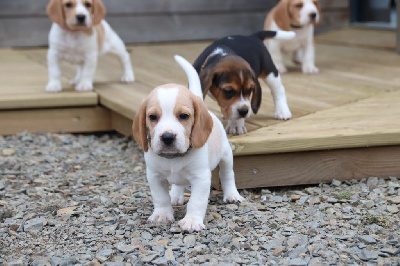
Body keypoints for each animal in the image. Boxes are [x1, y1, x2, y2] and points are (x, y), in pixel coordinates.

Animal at [133, 55, 244, 232]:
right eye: (152, 117)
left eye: (184, 116)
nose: (168, 137)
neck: (174, 158)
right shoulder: (155, 176)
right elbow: (160, 198)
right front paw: (162, 215)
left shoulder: (201, 178)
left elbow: (196, 202)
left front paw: (192, 221)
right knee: (178, 184)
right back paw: (175, 195)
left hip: (226, 156)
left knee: (227, 175)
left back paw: (232, 195)